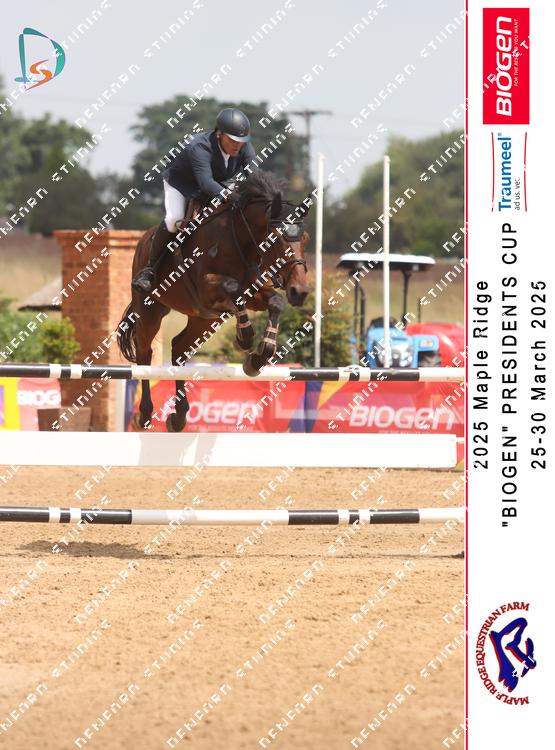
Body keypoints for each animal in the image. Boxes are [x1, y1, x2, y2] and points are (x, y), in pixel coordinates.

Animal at [117, 170, 312, 432]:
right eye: (276, 238)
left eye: (306, 239)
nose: (299, 291)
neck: (240, 239)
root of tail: (142, 241)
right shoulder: (207, 289)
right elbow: (233, 288)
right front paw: (245, 336)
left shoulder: (255, 292)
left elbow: (275, 302)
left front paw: (259, 357)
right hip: (150, 311)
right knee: (144, 353)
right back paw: (145, 414)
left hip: (204, 320)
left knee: (179, 348)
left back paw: (179, 417)